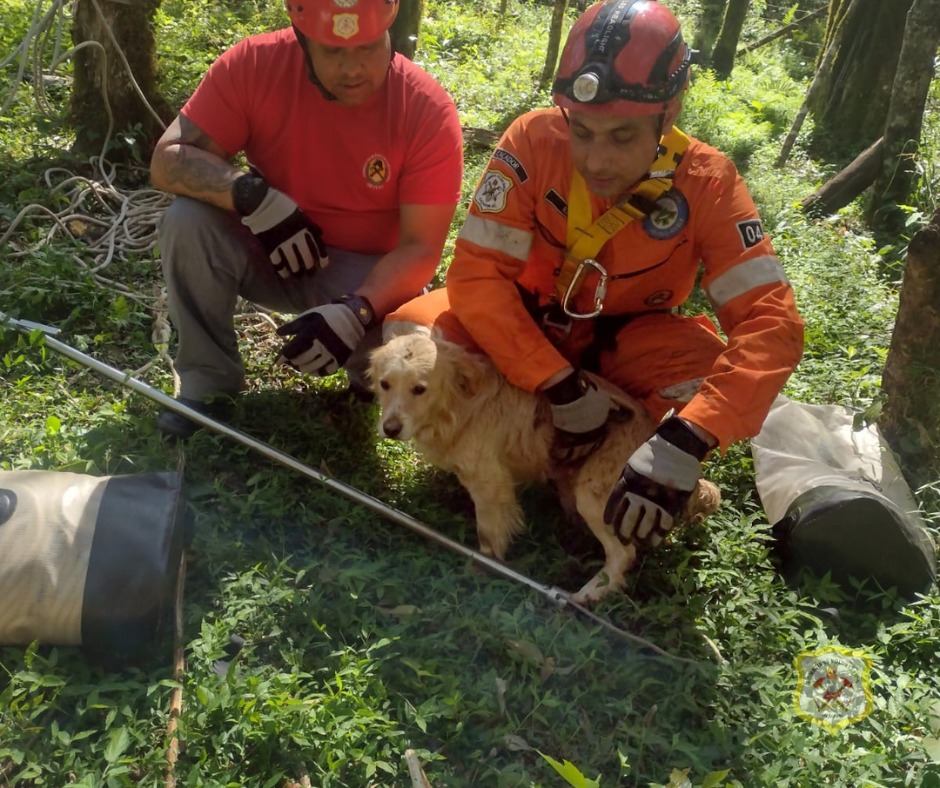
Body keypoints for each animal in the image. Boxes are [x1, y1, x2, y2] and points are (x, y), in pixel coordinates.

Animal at [368, 330, 720, 600]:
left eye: (420, 389)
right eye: (385, 384)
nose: (390, 429)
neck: (458, 406)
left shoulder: (491, 484)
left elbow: (487, 536)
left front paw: (481, 570)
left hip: (599, 497)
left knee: (623, 555)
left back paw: (585, 596)